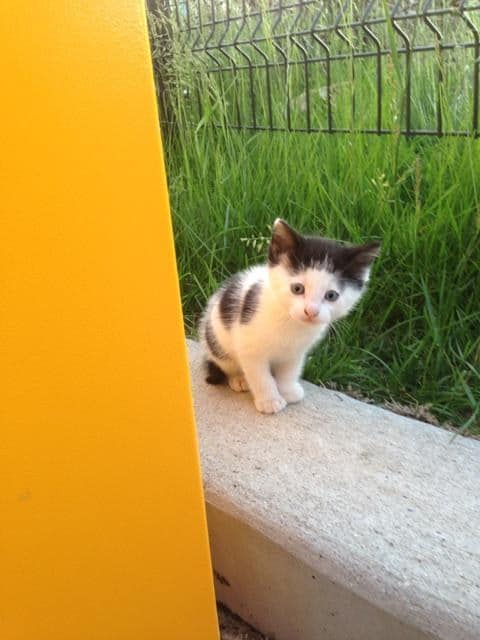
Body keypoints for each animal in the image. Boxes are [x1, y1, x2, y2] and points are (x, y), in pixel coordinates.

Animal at [199, 220, 378, 416]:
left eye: (331, 295)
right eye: (297, 288)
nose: (311, 311)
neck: (291, 324)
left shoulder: (296, 351)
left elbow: (289, 371)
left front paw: (288, 391)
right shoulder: (249, 345)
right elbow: (260, 376)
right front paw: (270, 400)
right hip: (217, 341)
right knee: (226, 363)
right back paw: (238, 379)